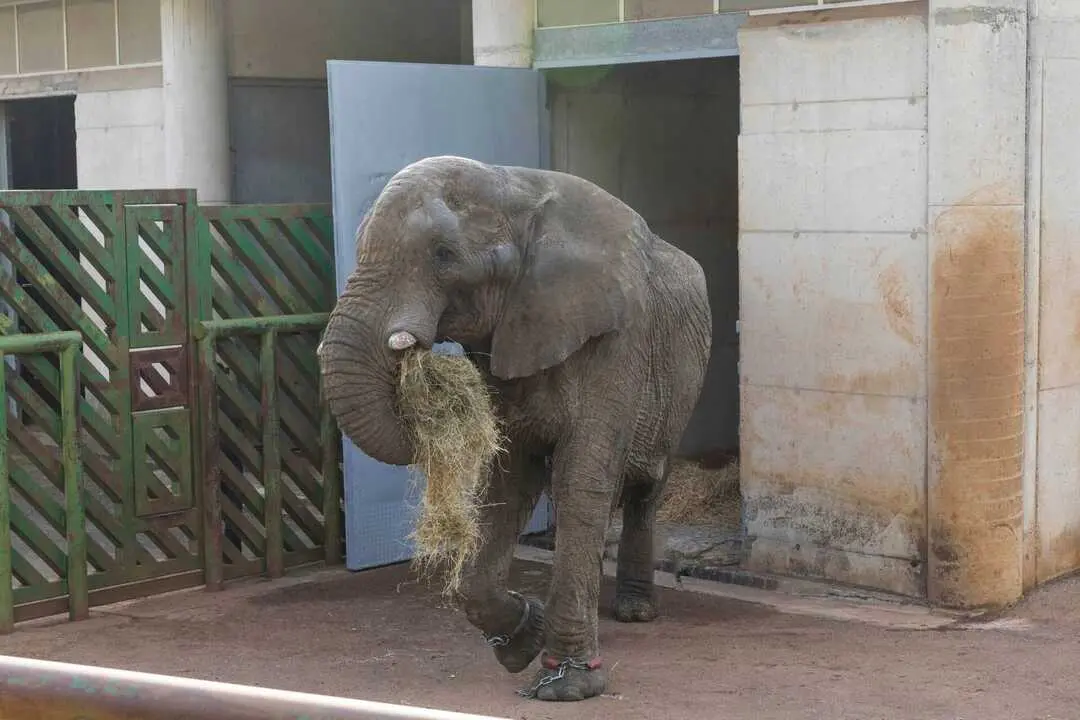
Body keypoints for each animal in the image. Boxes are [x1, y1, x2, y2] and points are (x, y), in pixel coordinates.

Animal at [317, 155, 712, 701]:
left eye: (443, 255)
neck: (513, 187)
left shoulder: (618, 339)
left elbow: (579, 480)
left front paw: (568, 686)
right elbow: (508, 478)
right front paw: (527, 638)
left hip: (680, 387)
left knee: (643, 489)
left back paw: (633, 613)